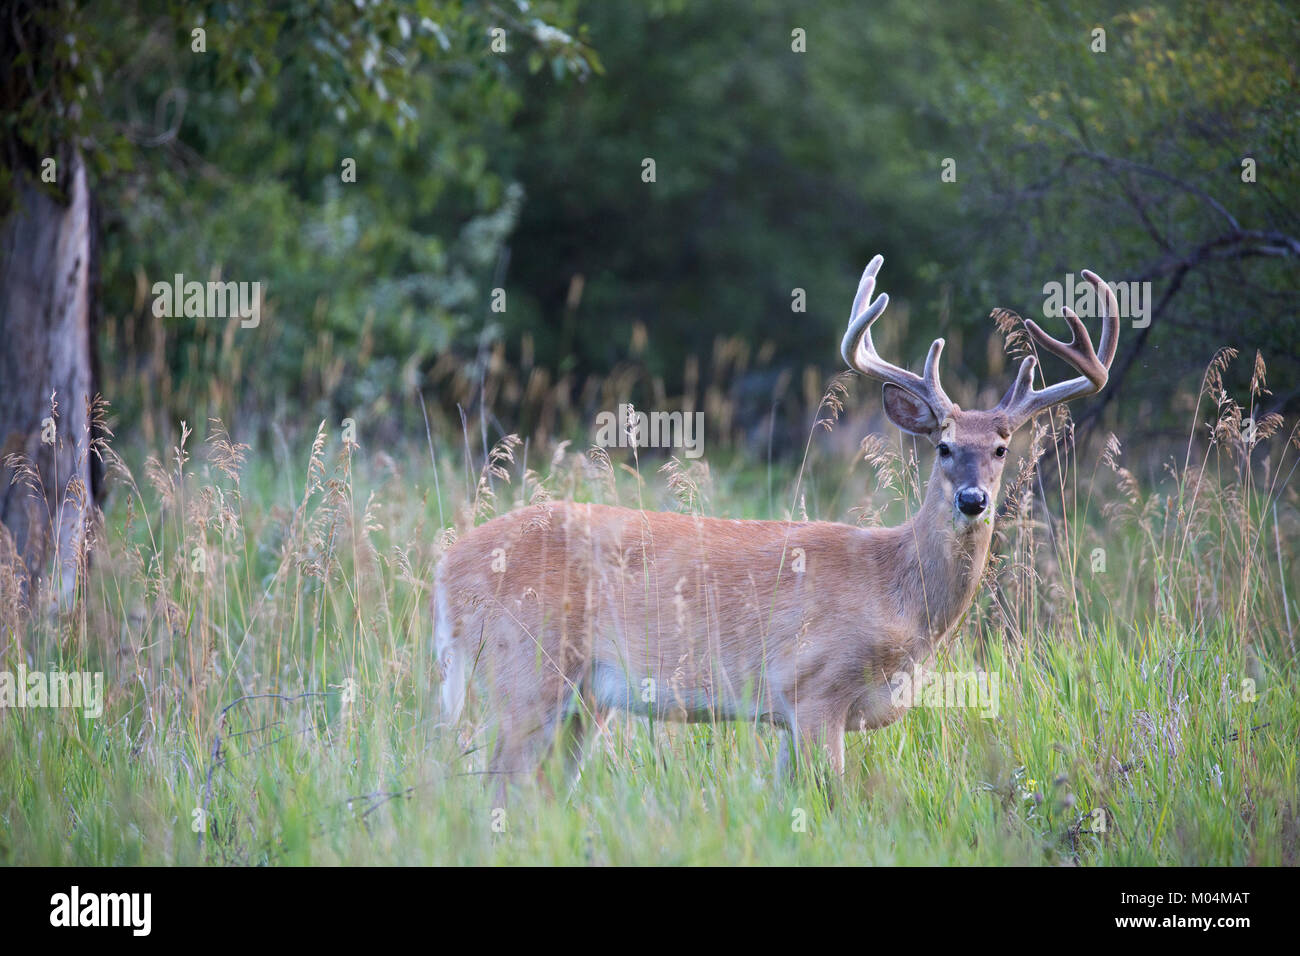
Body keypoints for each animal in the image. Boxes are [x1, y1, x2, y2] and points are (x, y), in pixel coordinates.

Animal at [433, 254, 1119, 788]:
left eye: (1002, 448)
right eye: (944, 445)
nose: (973, 500)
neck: (895, 590)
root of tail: (445, 569)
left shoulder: (794, 714)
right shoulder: (813, 687)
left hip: (584, 700)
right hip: (526, 669)